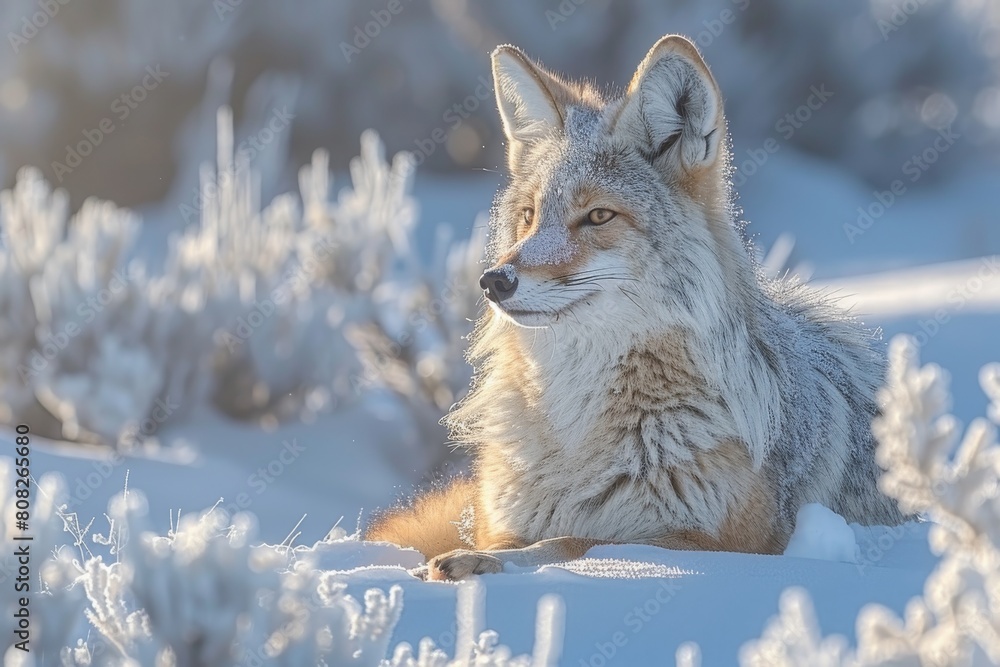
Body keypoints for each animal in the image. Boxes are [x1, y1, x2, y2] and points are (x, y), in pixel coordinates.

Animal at [366, 34, 905, 581]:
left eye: (599, 216)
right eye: (530, 216)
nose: (495, 281)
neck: (576, 428)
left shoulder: (722, 542)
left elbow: (574, 541)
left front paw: (482, 563)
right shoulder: (501, 517)